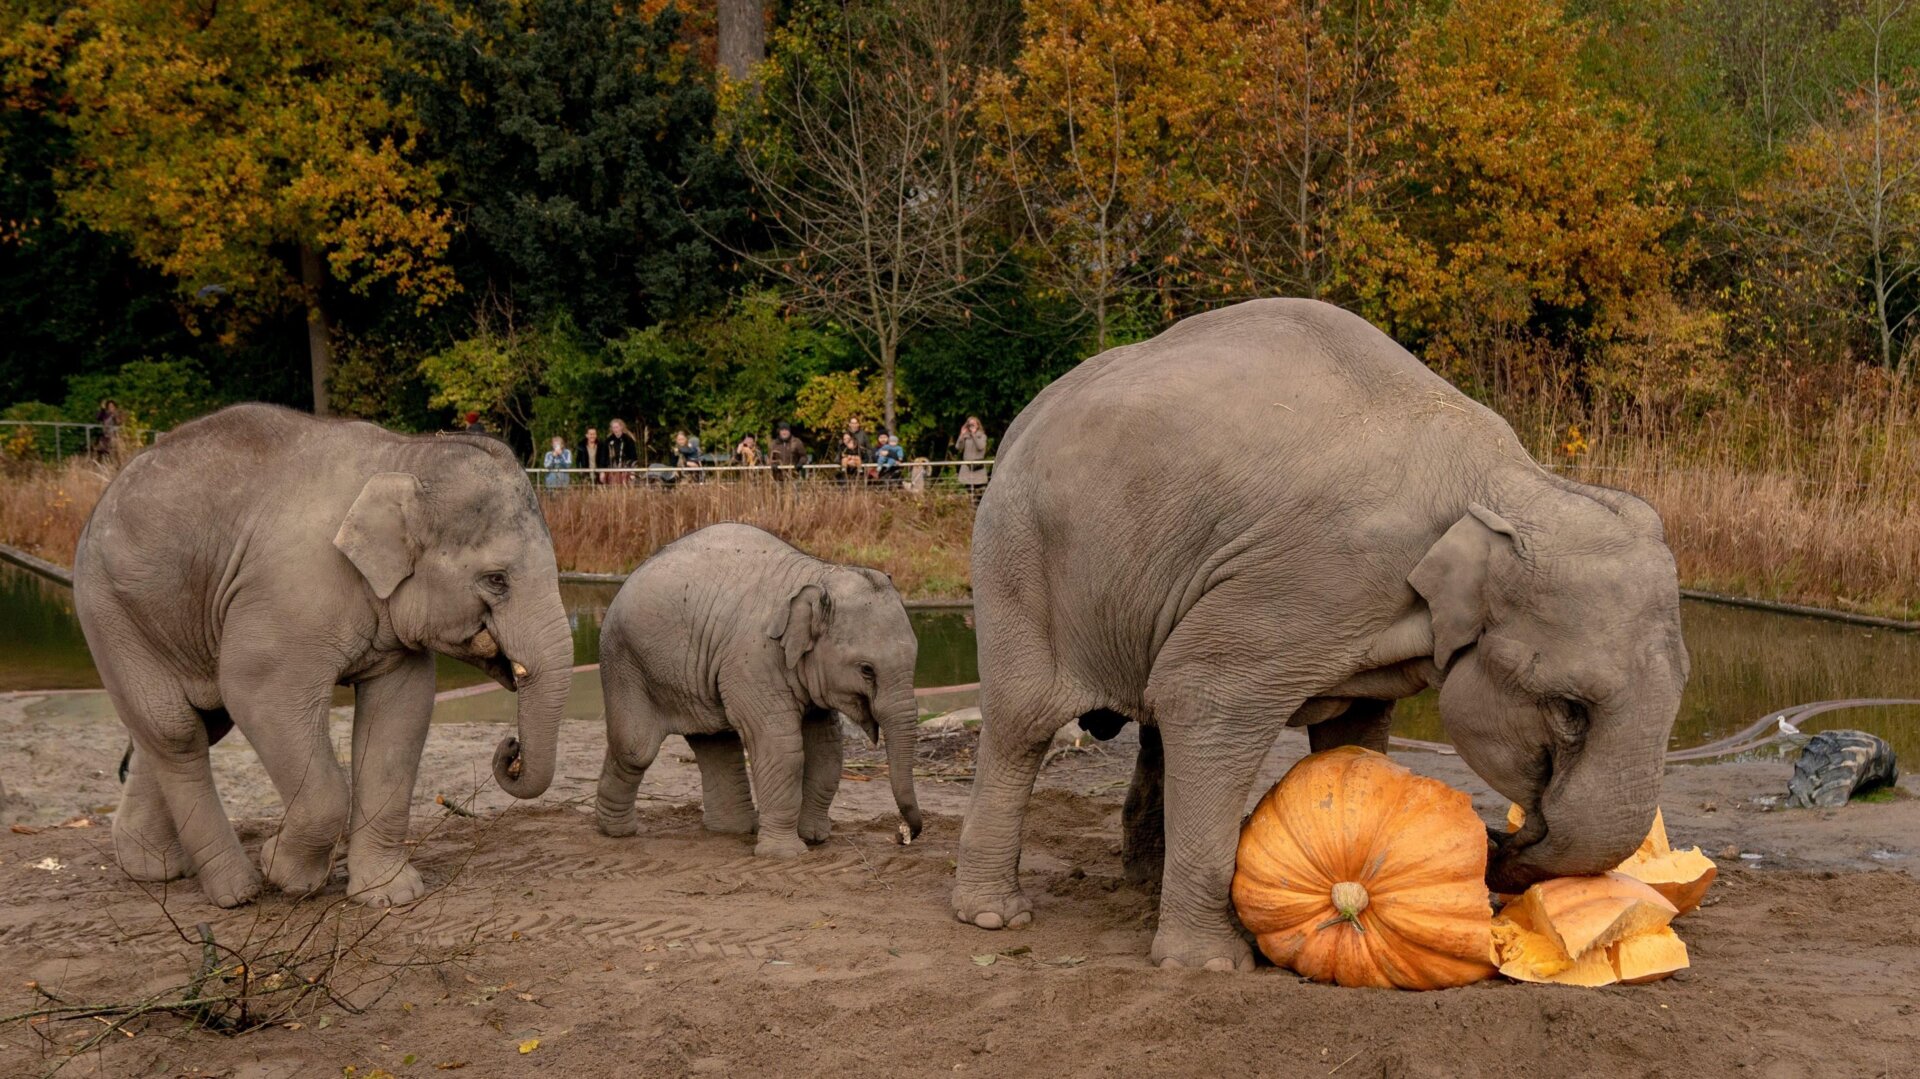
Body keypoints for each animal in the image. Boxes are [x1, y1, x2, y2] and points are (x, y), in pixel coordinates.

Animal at [73, 404, 573, 908]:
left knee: (189, 725)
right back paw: (237, 891)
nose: (510, 747)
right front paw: (285, 875)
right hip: (109, 612)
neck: (404, 455)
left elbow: (401, 713)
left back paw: (153, 869)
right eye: (496, 580)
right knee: (175, 731)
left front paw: (390, 895)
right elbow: (256, 690)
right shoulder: (287, 596)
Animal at [593, 523, 922, 857]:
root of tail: (634, 572)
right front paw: (787, 854)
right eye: (867, 669)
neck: (817, 573)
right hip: (627, 660)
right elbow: (780, 745)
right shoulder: (752, 659)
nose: (903, 835)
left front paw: (814, 837)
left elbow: (827, 747)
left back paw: (733, 829)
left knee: (715, 741)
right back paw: (616, 831)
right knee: (637, 748)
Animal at [952, 299, 1689, 971]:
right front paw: (1210, 965)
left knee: (1153, 718)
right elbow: (1203, 695)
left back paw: (1144, 884)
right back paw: (994, 916)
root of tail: (1022, 424)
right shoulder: (1316, 572)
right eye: (1570, 710)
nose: (1495, 842)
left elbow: (1351, 727)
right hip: (1017, 557)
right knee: (1025, 721)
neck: (1504, 483)